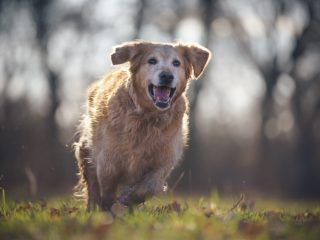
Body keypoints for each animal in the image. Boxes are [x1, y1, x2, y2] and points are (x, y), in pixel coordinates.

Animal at [74, 40, 211, 211]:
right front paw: (109, 207)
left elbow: (150, 186)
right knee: (92, 183)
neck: (149, 117)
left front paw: (129, 198)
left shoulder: (164, 160)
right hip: (86, 147)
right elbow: (106, 186)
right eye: (152, 61)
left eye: (176, 63)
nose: (167, 76)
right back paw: (94, 208)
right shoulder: (107, 159)